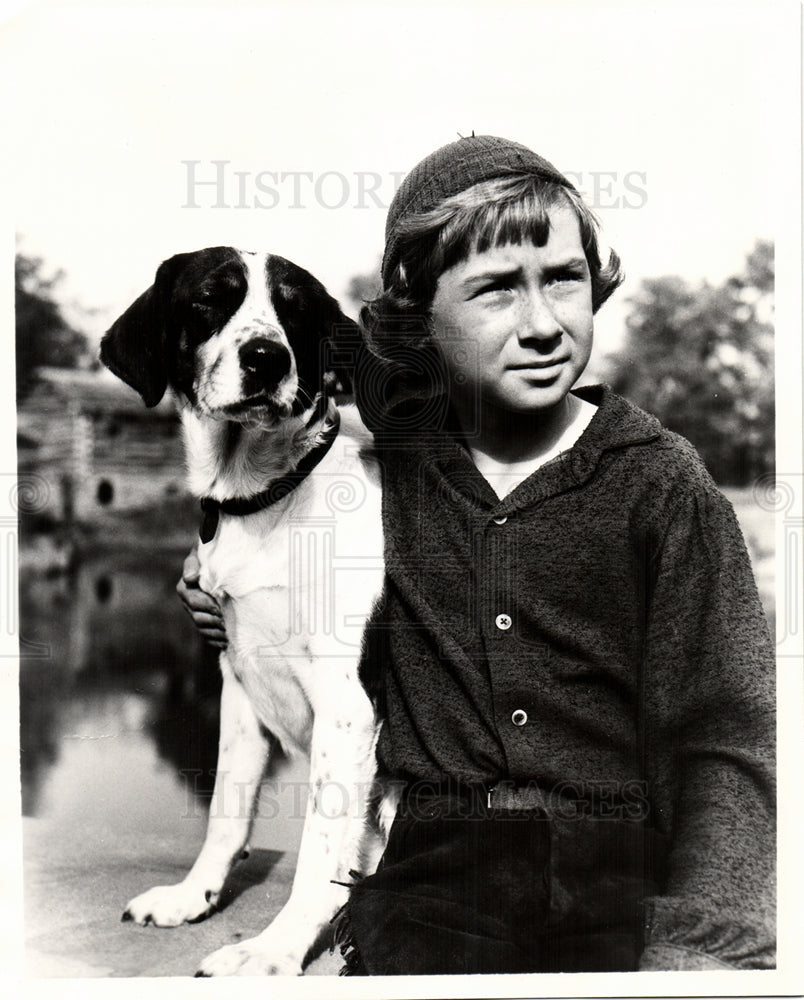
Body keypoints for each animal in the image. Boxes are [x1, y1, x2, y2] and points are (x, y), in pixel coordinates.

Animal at [99, 248, 390, 976]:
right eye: (211, 297)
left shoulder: (349, 706)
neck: (264, 499)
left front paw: (275, 951)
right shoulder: (236, 682)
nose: (265, 357)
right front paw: (192, 896)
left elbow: (319, 852)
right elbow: (226, 810)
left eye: (296, 310)